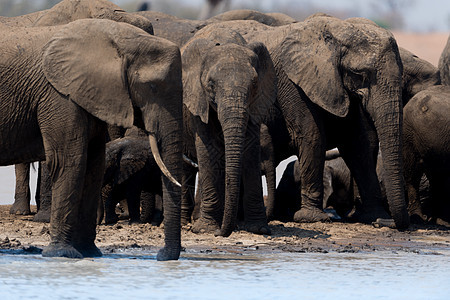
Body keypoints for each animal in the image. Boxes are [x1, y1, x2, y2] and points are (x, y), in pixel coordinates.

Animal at [181, 25, 276, 237]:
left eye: (254, 84)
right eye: (211, 85)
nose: (220, 233)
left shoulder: (254, 103)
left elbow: (249, 149)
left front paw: (259, 229)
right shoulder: (198, 100)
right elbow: (209, 150)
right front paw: (206, 229)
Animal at [204, 14, 412, 227]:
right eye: (359, 74)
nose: (390, 223)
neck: (335, 29)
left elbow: (357, 143)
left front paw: (376, 216)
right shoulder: (291, 81)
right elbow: (312, 135)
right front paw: (312, 218)